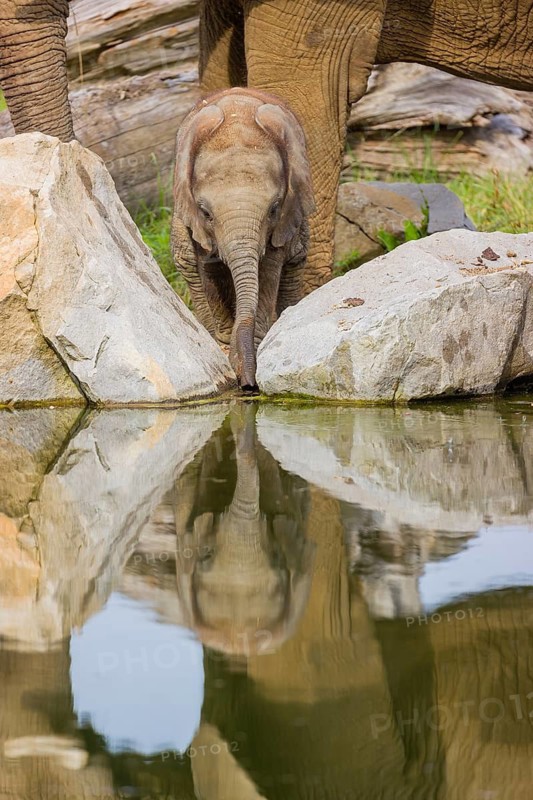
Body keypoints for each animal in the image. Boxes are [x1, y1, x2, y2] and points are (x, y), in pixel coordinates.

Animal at [171, 88, 314, 391]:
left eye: (273, 209)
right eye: (205, 212)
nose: (248, 386)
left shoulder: (284, 217)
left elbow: (270, 269)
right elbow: (209, 268)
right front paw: (228, 349)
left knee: (295, 261)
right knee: (187, 263)